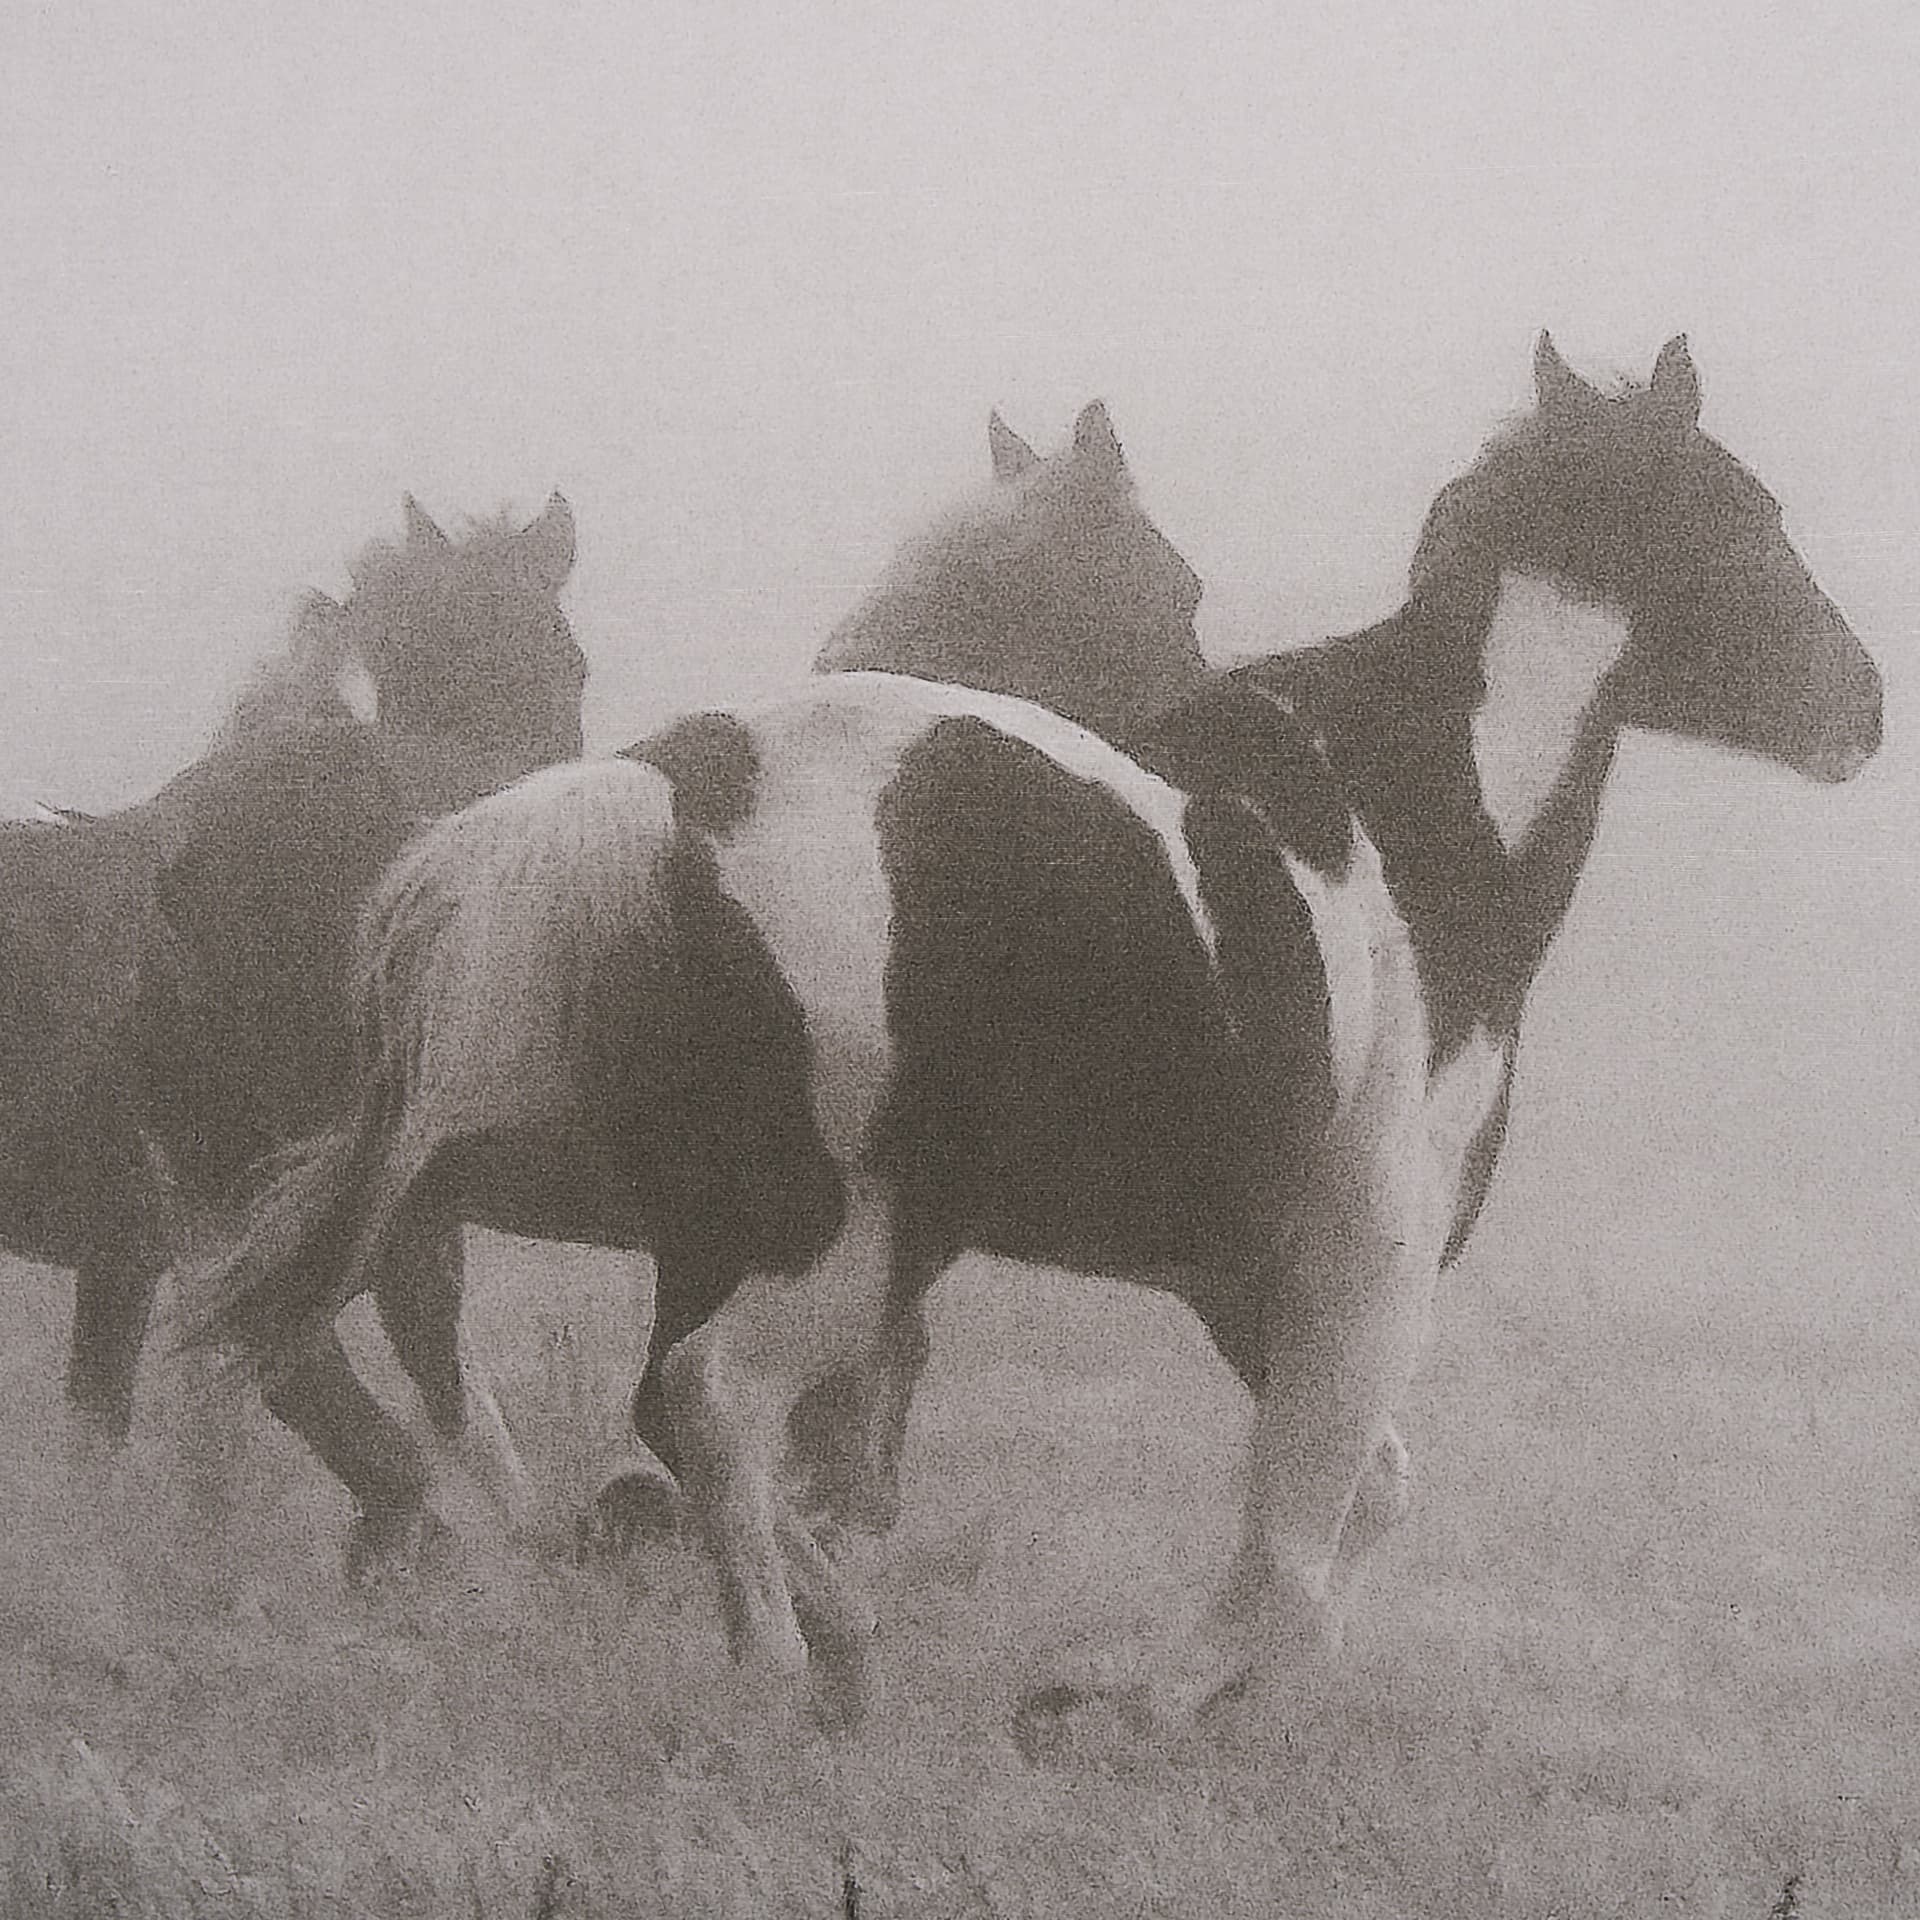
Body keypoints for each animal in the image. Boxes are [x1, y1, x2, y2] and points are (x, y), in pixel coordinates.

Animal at [189, 336, 1882, 1735]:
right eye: (1750, 519)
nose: (1861, 709)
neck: (1423, 836)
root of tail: (677, 779)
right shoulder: (1370, 1255)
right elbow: (1302, 1528)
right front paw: (1144, 1705)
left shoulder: (1247, 1274)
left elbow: (1362, 1500)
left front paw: (1199, 1699)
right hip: (830, 1235)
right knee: (706, 1400)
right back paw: (788, 1668)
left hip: (740, 1224)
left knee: (664, 1410)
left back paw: (816, 1640)